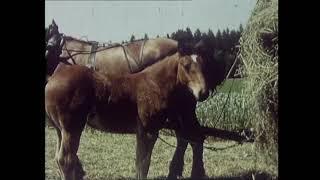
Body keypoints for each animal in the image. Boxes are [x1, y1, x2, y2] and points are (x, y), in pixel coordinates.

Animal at [45, 19, 226, 179]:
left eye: (203, 65)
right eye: (186, 66)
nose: (203, 92)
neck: (153, 83)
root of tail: (53, 79)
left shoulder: (144, 132)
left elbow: (141, 164)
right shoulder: (148, 131)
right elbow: (143, 164)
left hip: (63, 129)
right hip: (70, 128)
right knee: (65, 160)